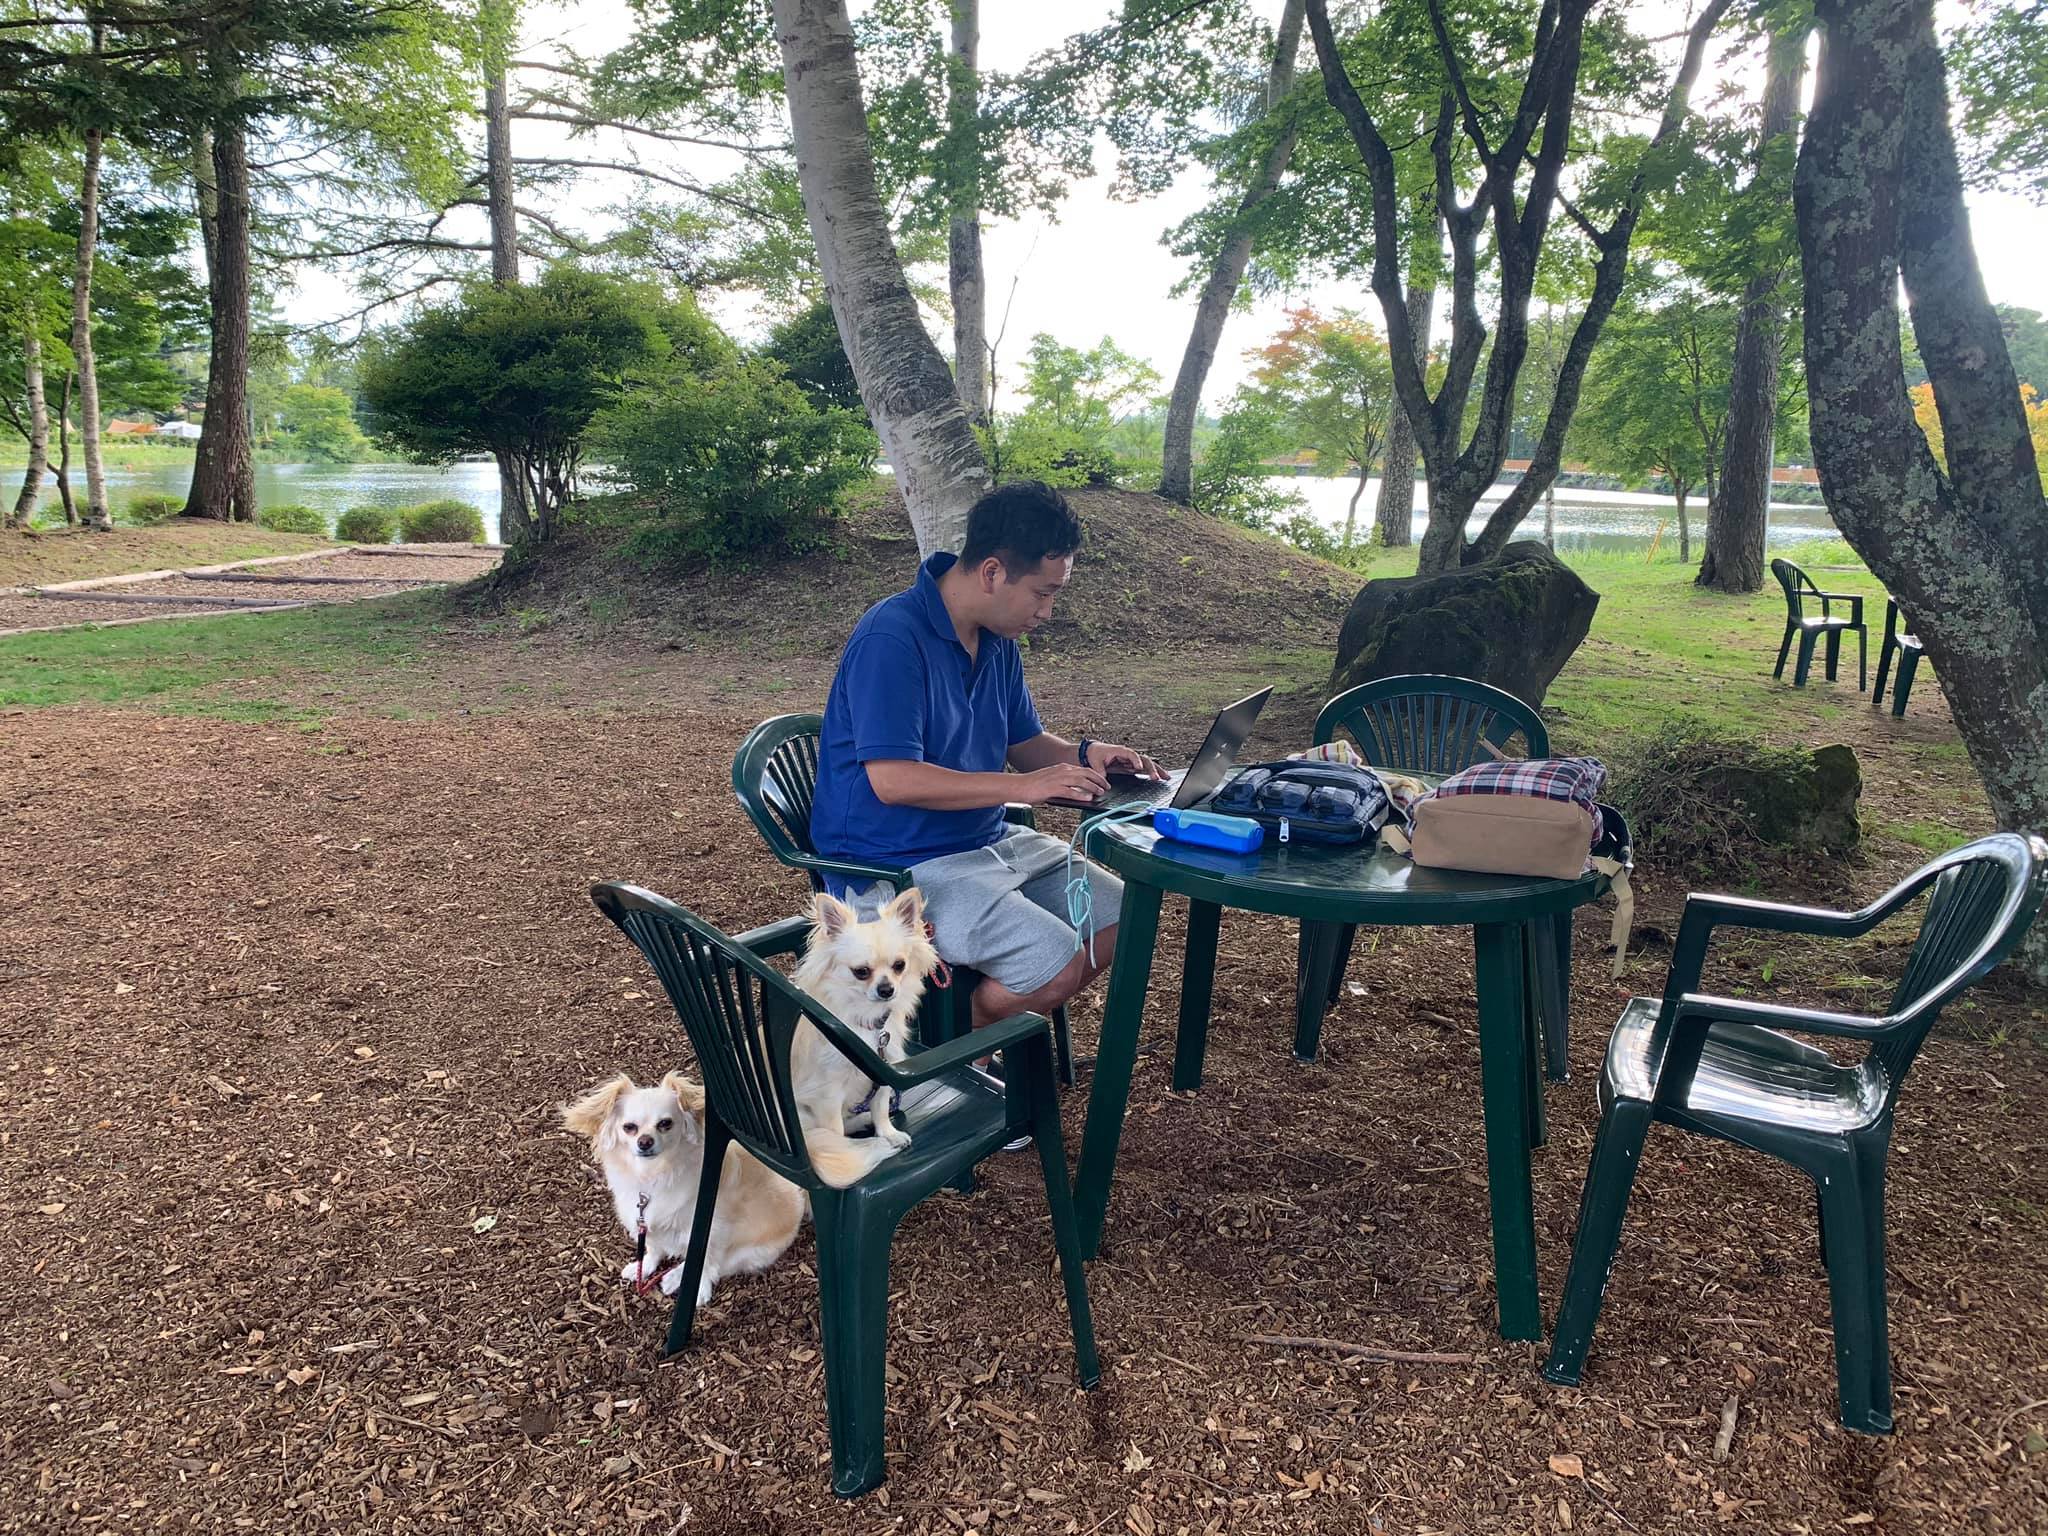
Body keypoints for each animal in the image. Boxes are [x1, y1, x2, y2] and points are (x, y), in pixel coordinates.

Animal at [573, 1073, 811, 1310]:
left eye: (665, 1123)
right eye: (629, 1127)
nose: (645, 1141)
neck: (653, 1174)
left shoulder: (709, 1231)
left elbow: (705, 1262)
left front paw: (699, 1289)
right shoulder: (645, 1223)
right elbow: (653, 1248)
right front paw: (645, 1267)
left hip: (750, 1250)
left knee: (719, 1264)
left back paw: (675, 1277)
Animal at [790, 888, 937, 1187]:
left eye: (899, 965)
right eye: (861, 972)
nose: (886, 989)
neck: (868, 1023)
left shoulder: (882, 1071)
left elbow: (880, 1106)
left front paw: (888, 1133)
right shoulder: (827, 1094)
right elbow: (834, 1131)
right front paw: (848, 1149)